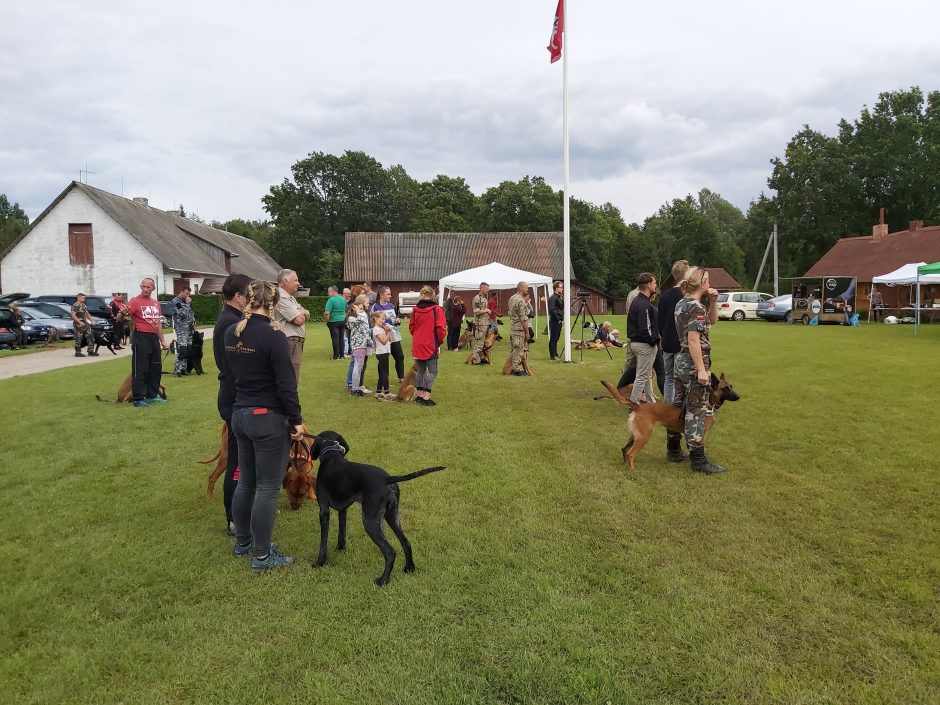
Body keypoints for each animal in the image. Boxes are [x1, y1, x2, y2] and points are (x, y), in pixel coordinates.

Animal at [306, 432, 442, 584]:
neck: (332, 456)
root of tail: (387, 479)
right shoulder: (343, 509)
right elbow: (342, 533)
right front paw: (340, 549)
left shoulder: (324, 510)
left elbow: (323, 541)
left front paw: (320, 562)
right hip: (392, 517)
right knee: (406, 543)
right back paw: (409, 568)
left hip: (370, 522)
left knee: (390, 552)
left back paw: (383, 580)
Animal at [608, 374, 740, 468]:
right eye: (725, 388)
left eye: (731, 386)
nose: (739, 397)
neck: (708, 405)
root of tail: (638, 406)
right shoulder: (700, 436)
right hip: (643, 437)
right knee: (630, 454)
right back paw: (632, 470)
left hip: (635, 435)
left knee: (624, 449)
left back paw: (624, 465)